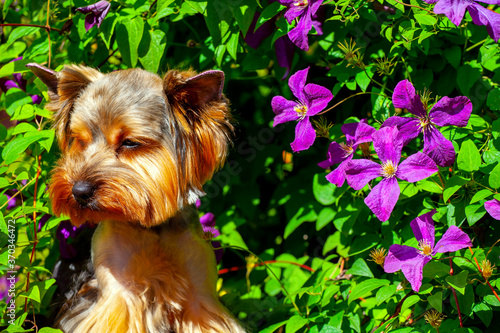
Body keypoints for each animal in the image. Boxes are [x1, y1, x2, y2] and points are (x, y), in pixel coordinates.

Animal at [27, 63, 246, 332]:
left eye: (130, 143)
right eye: (80, 140)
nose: (79, 191)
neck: (151, 228)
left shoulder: (200, 299)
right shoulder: (118, 298)